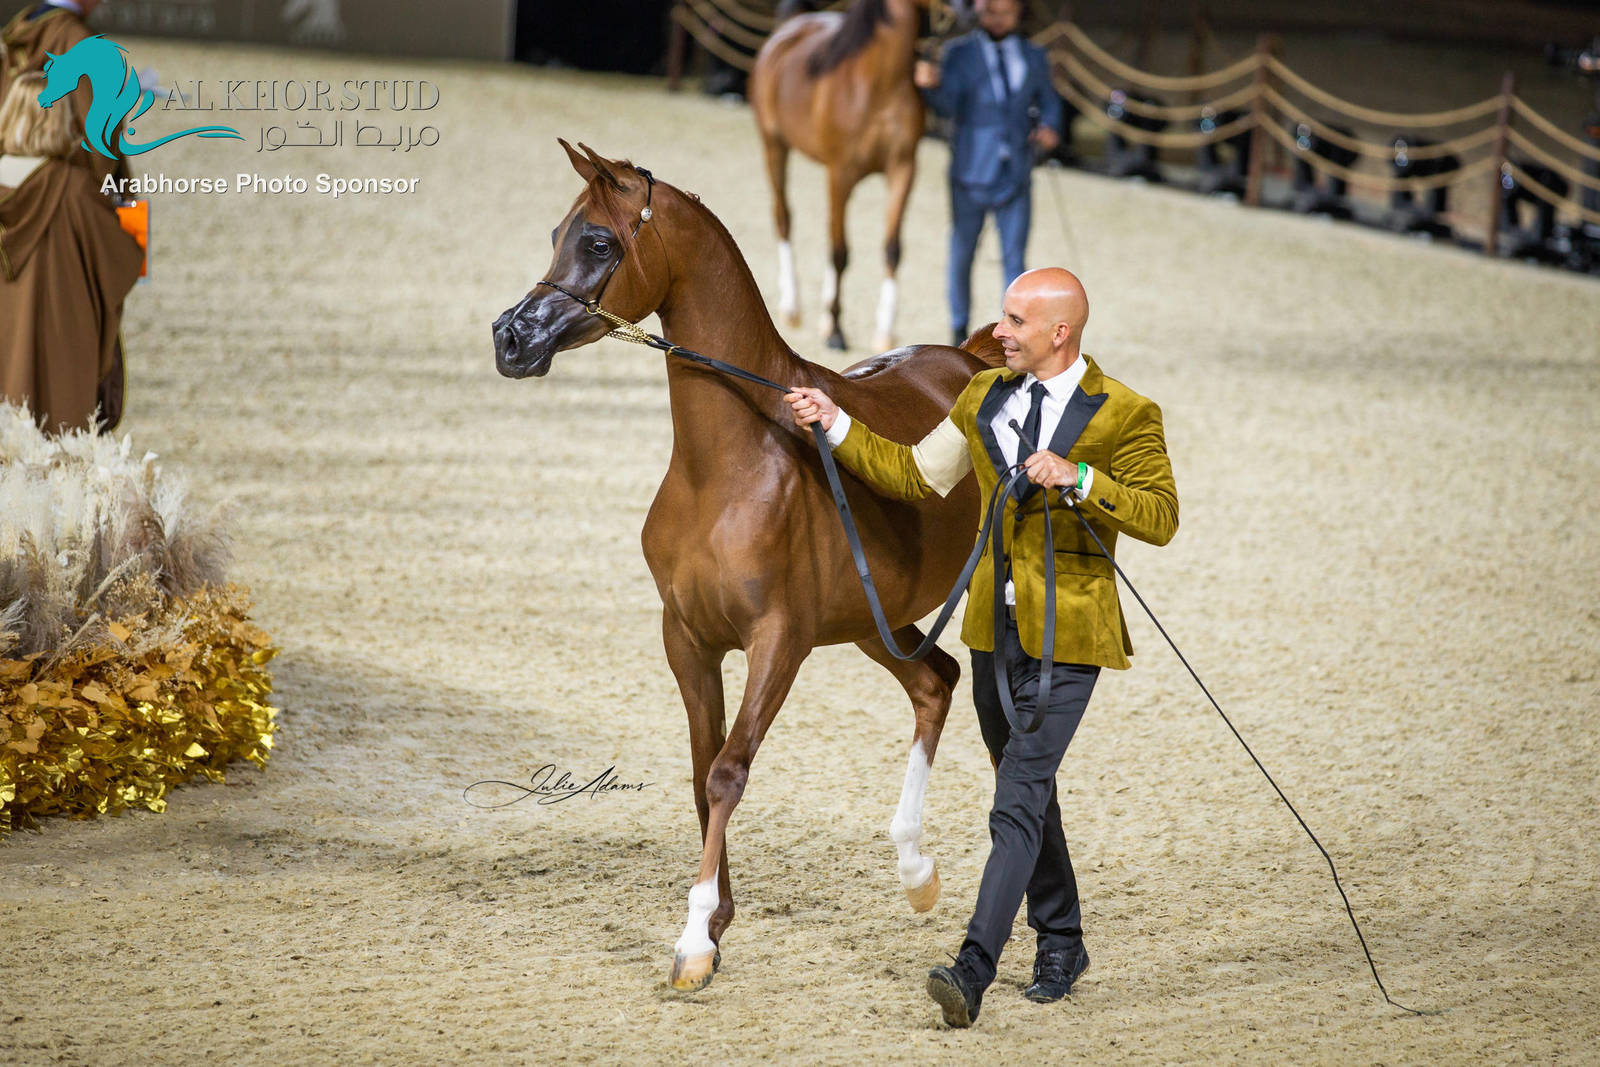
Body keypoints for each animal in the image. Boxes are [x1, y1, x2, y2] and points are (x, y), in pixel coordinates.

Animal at [492, 141, 1006, 992]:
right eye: (556, 233)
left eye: (597, 241)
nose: (509, 337)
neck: (733, 465)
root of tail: (974, 359)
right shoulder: (687, 639)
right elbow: (702, 770)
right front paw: (717, 921)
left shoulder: (779, 641)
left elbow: (730, 769)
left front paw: (694, 939)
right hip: (875, 622)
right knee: (936, 685)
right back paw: (916, 873)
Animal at [749, 0, 930, 352]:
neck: (880, 82)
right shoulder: (841, 172)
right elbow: (840, 252)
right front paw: (835, 330)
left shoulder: (903, 169)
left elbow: (892, 248)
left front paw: (884, 331)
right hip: (774, 146)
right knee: (784, 217)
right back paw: (792, 307)